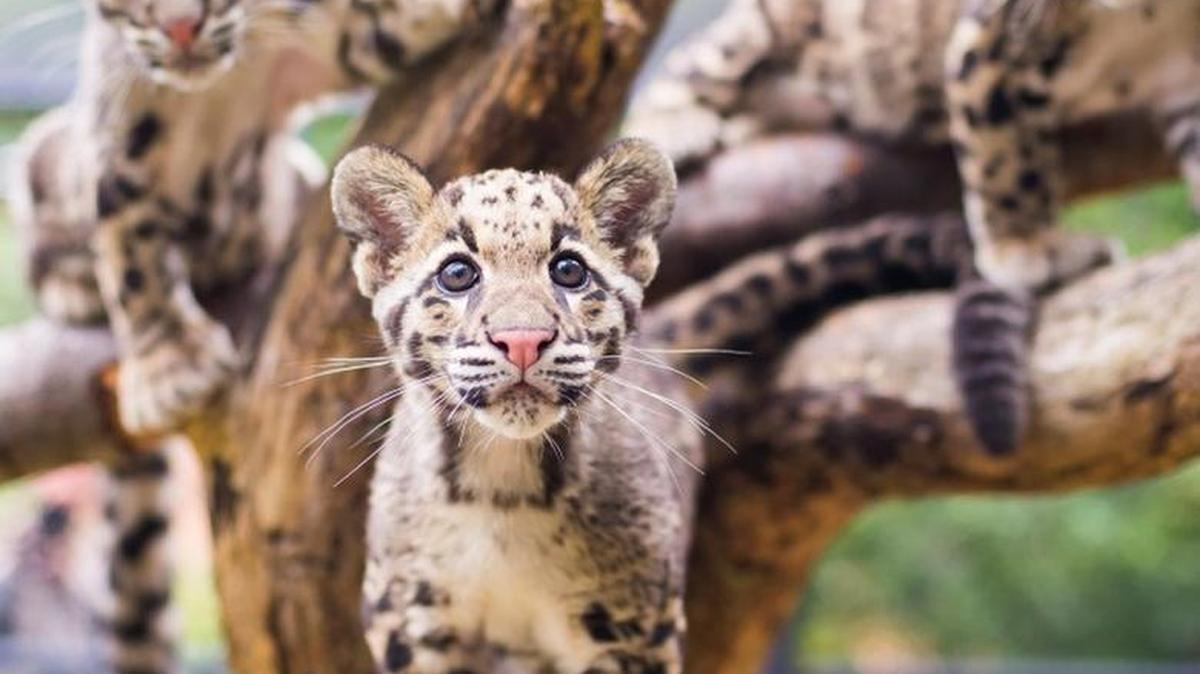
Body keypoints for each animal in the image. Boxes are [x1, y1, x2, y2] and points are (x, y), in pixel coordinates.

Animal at [624, 0, 1200, 454]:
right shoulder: (989, 40)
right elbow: (1005, 154)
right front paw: (1022, 248)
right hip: (780, 25)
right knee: (706, 59)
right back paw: (678, 121)